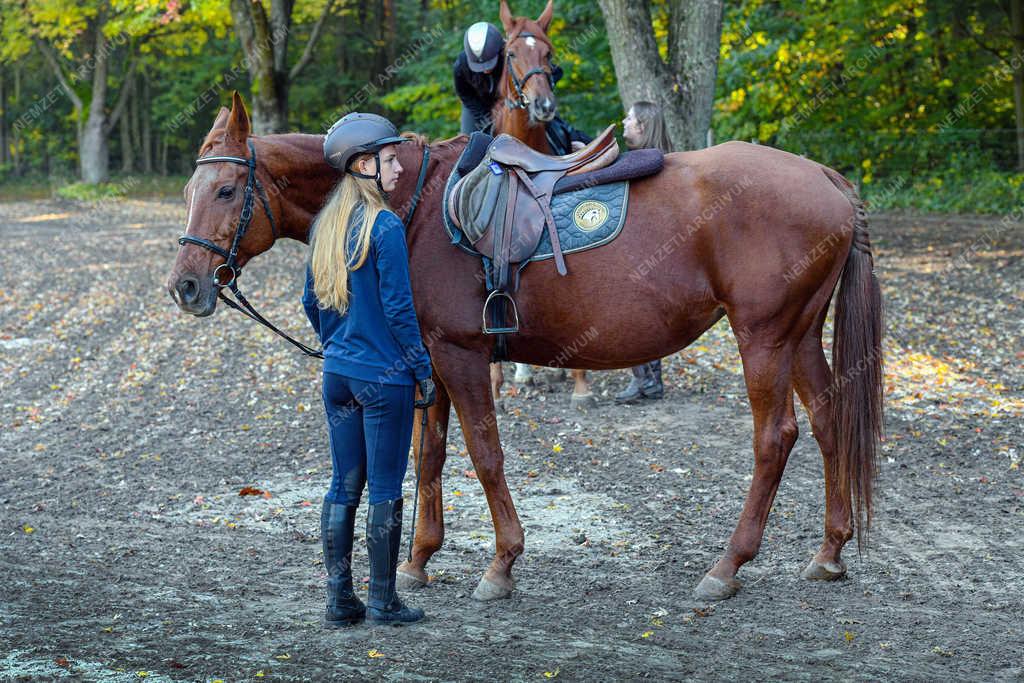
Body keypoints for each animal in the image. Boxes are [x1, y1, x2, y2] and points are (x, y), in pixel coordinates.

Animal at [165, 90, 880, 602]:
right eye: (189, 190)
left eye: (226, 190)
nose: (186, 285)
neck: (411, 205)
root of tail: (827, 178)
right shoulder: (427, 357)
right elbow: (430, 456)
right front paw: (419, 560)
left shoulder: (461, 355)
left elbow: (484, 456)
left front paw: (502, 564)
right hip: (798, 335)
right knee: (827, 420)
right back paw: (828, 552)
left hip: (763, 335)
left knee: (775, 437)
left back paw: (728, 565)